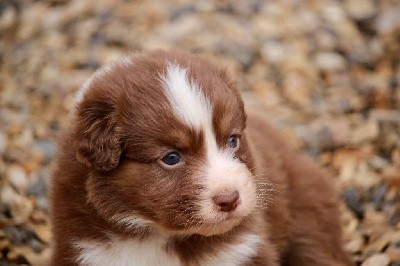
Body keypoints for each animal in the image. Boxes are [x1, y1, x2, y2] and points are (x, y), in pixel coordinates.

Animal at [51, 50, 352, 266]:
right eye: (171, 158)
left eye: (232, 141)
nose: (230, 200)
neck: (166, 240)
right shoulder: (86, 250)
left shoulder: (245, 250)